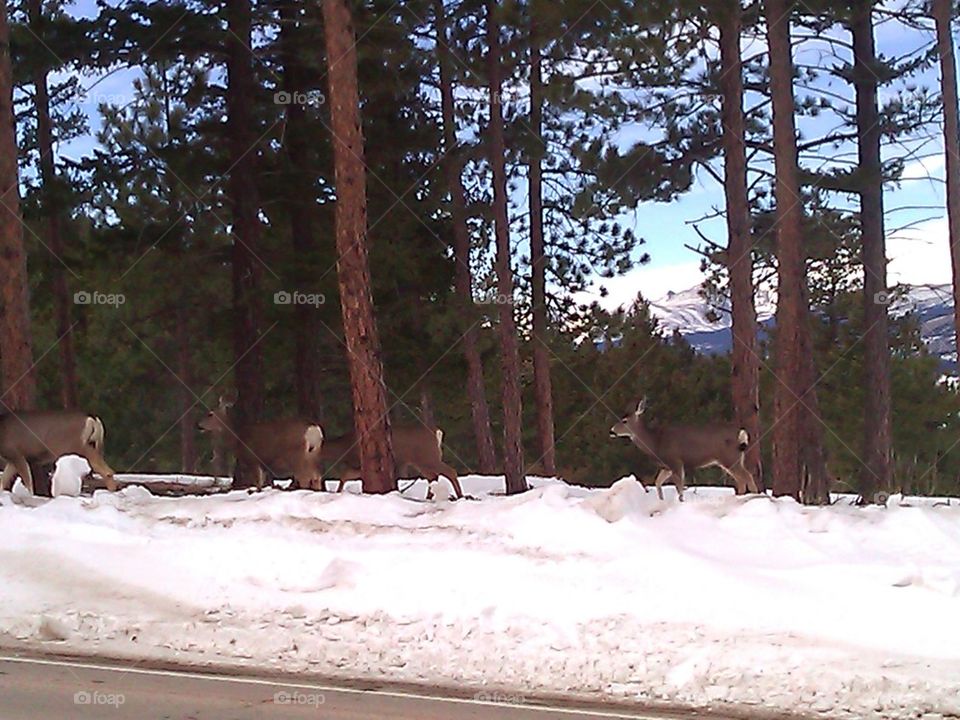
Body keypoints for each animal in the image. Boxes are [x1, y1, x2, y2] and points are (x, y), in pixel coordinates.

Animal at [197, 396, 325, 492]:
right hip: (313, 453)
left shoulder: (253, 459)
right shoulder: (263, 464)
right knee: (317, 476)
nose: (199, 425)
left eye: (210, 413)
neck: (237, 438)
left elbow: (258, 483)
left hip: (296, 455)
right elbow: (262, 483)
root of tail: (313, 429)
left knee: (305, 477)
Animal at [323, 425, 464, 499]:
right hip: (421, 461)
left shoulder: (361, 463)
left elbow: (345, 475)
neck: (344, 447)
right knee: (432, 477)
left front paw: (337, 493)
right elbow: (345, 476)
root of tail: (437, 433)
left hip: (429, 457)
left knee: (450, 472)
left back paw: (460, 495)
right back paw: (429, 497)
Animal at [609, 398, 759, 501]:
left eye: (624, 421)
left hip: (729, 457)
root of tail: (741, 432)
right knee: (742, 479)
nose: (611, 431)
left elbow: (679, 487)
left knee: (746, 476)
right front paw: (661, 500)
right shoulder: (666, 466)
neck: (655, 442)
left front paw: (680, 501)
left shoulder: (676, 461)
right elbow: (658, 482)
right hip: (734, 458)